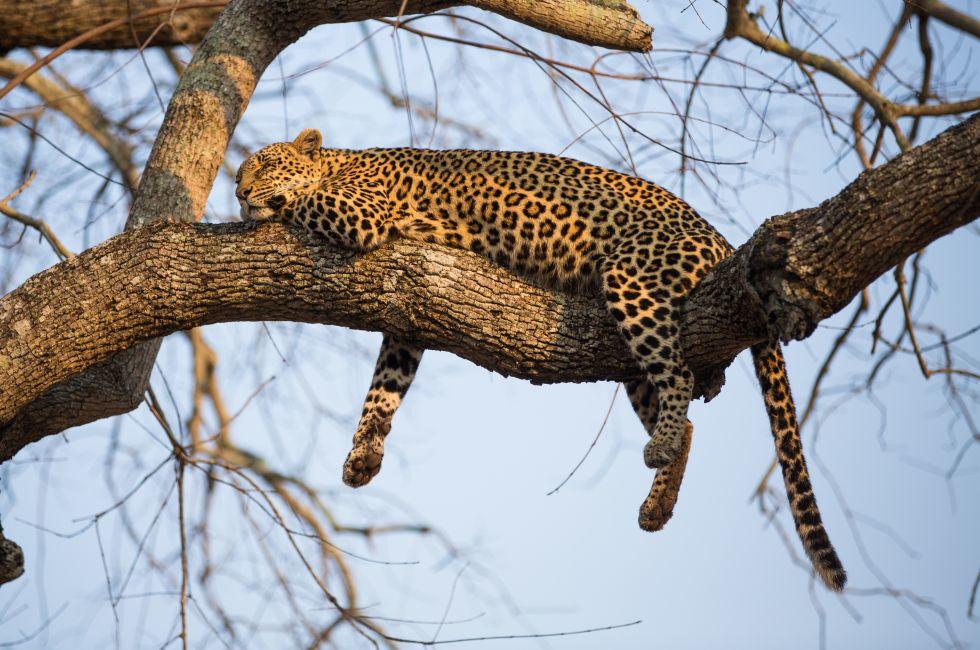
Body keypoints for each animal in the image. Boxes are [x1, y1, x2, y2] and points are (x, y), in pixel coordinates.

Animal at [235, 128, 847, 591]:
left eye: (262, 165)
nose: (239, 192)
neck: (341, 161)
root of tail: (723, 243)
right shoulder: (408, 312)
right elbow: (386, 385)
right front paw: (364, 454)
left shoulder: (361, 212)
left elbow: (304, 203)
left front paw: (267, 209)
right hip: (631, 359)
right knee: (686, 412)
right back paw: (658, 502)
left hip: (633, 281)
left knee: (675, 376)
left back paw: (663, 446)